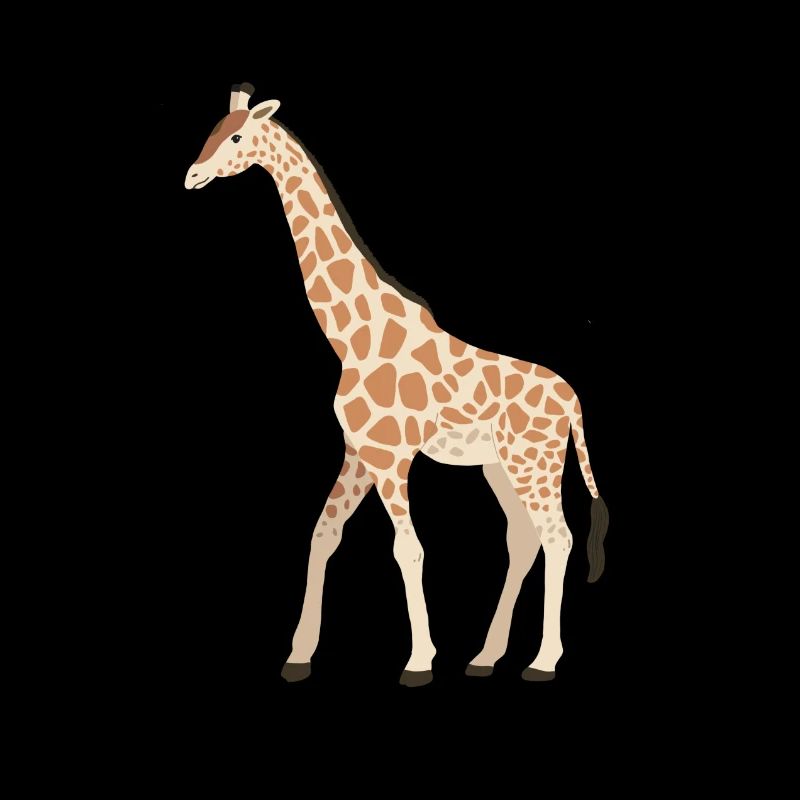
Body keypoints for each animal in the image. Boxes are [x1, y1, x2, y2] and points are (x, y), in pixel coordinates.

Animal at [185, 83, 609, 687]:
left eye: (238, 136)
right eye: (213, 130)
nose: (193, 176)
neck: (349, 336)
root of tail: (573, 400)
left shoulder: (391, 456)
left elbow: (408, 549)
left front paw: (419, 661)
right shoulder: (358, 452)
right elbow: (323, 535)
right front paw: (298, 655)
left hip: (536, 462)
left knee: (558, 537)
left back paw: (543, 662)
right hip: (499, 466)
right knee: (524, 538)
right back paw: (485, 657)